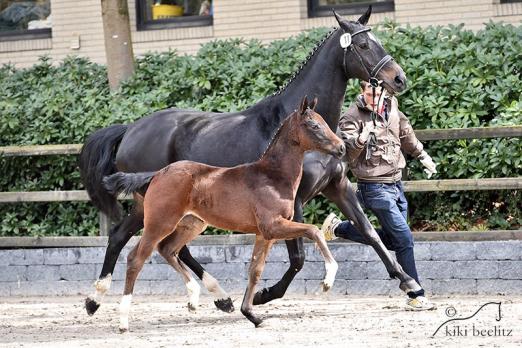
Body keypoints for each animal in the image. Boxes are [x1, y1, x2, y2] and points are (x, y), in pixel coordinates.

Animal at [103, 96, 344, 330]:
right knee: (136, 258)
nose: (341, 147)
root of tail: (156, 174)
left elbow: (255, 271)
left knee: (168, 249)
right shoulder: (273, 225)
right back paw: (123, 321)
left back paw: (195, 297)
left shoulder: (264, 234)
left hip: (192, 223)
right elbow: (314, 230)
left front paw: (252, 315)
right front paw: (328, 280)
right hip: (159, 223)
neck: (272, 177)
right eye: (314, 125)